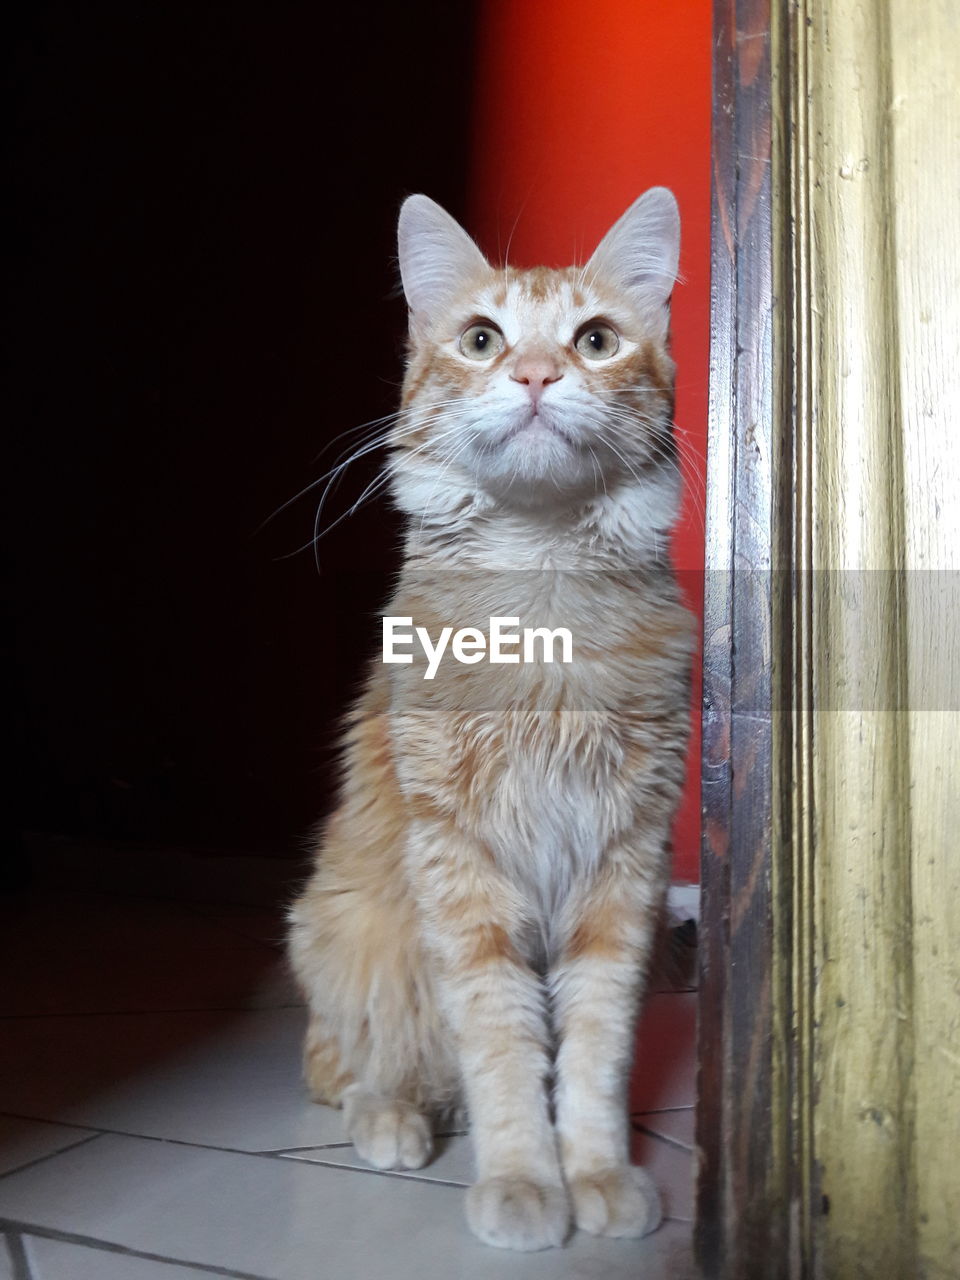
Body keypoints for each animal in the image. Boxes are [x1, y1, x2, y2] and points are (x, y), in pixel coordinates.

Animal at [281, 189, 696, 1249]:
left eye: (595, 341)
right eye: (481, 339)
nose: (538, 374)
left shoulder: (624, 862)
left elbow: (591, 1050)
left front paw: (596, 1173)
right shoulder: (461, 865)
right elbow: (503, 1043)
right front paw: (521, 1180)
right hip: (352, 937)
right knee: (358, 1064)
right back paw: (395, 1118)